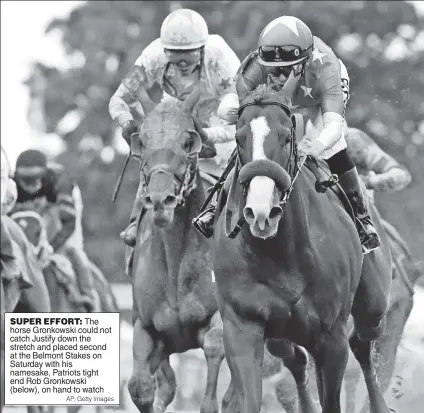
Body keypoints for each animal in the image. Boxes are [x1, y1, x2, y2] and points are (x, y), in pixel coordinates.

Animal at [210, 82, 392, 412]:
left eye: (286, 137)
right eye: (239, 138)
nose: (260, 213)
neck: (279, 253)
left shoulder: (331, 338)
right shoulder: (241, 327)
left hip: (373, 303)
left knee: (362, 340)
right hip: (280, 335)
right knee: (295, 357)